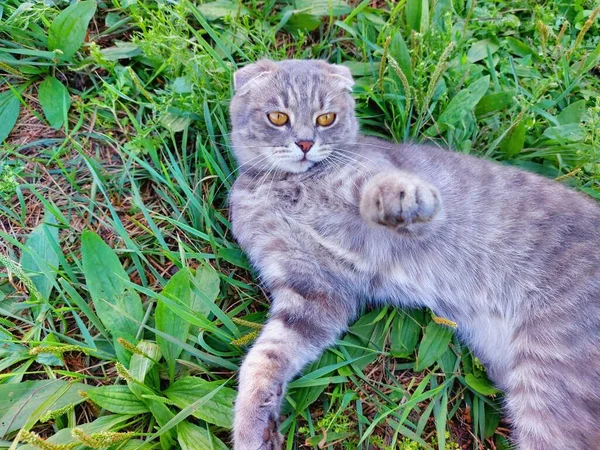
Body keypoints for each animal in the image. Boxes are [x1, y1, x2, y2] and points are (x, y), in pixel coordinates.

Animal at [226, 59, 600, 450]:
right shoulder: (311, 289)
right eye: (278, 117)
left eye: (326, 118)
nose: (304, 143)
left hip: (551, 379)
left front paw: (405, 197)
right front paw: (252, 425)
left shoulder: (378, 191)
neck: (286, 186)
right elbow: (265, 355)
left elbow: (380, 184)